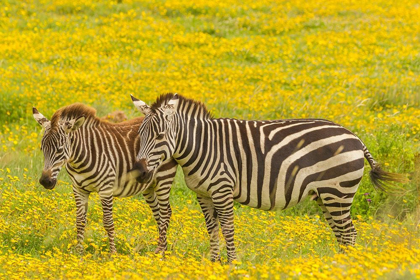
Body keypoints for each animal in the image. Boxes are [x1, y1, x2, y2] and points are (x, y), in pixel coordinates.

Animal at [32, 104, 176, 255]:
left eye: (60, 150)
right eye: (42, 148)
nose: (45, 181)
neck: (80, 159)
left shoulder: (106, 189)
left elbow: (108, 222)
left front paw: (112, 253)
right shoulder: (78, 189)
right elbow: (80, 221)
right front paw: (78, 252)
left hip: (164, 178)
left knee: (165, 213)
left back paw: (161, 252)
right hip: (148, 184)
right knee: (159, 213)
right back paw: (162, 249)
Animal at [130, 93, 406, 262]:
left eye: (160, 136)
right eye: (140, 135)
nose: (141, 173)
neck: (202, 146)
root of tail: (355, 137)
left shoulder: (222, 189)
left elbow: (228, 228)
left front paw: (231, 264)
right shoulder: (203, 194)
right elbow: (212, 229)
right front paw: (212, 262)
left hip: (338, 192)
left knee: (349, 234)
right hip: (325, 195)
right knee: (342, 234)